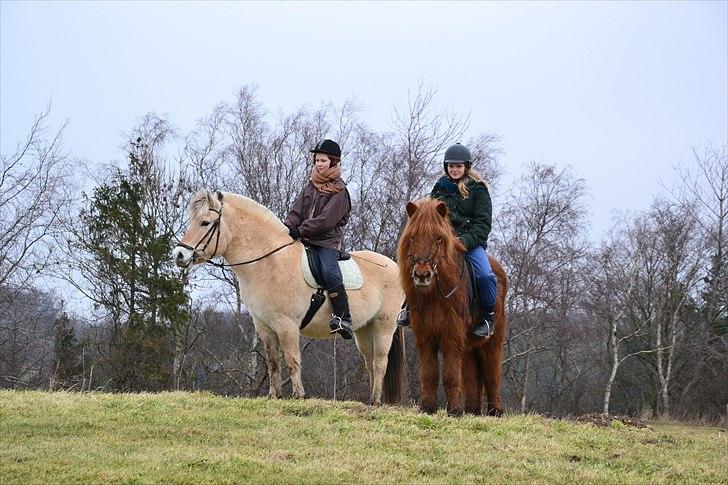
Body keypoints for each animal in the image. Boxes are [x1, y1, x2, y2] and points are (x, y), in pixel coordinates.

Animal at [174, 189, 406, 404]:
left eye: (205, 222)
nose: (179, 255)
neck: (268, 261)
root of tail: (394, 266)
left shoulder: (287, 326)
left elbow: (292, 361)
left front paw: (298, 396)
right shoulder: (264, 327)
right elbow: (273, 362)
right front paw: (274, 396)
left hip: (383, 325)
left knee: (379, 362)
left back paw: (375, 401)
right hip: (364, 329)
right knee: (370, 362)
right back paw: (372, 400)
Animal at [396, 198, 510, 416]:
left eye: (439, 238)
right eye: (413, 237)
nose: (422, 274)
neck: (434, 296)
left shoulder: (452, 338)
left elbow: (450, 375)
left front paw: (454, 411)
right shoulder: (426, 339)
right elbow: (429, 375)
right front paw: (428, 408)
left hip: (492, 342)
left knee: (492, 375)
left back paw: (495, 411)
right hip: (469, 347)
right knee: (471, 376)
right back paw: (472, 410)